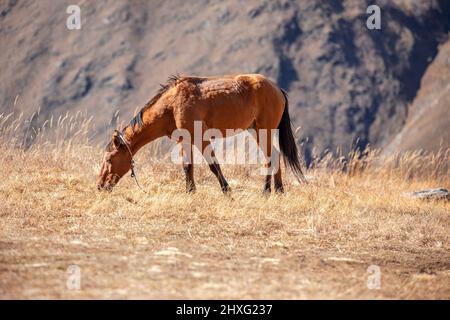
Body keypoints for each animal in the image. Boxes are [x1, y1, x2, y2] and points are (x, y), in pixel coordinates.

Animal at [96, 74, 304, 194]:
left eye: (109, 159)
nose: (100, 186)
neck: (172, 104)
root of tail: (277, 89)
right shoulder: (184, 140)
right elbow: (187, 167)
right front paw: (190, 191)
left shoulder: (200, 138)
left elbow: (214, 165)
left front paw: (227, 191)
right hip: (256, 131)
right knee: (274, 156)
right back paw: (277, 190)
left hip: (264, 131)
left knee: (271, 157)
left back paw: (268, 190)